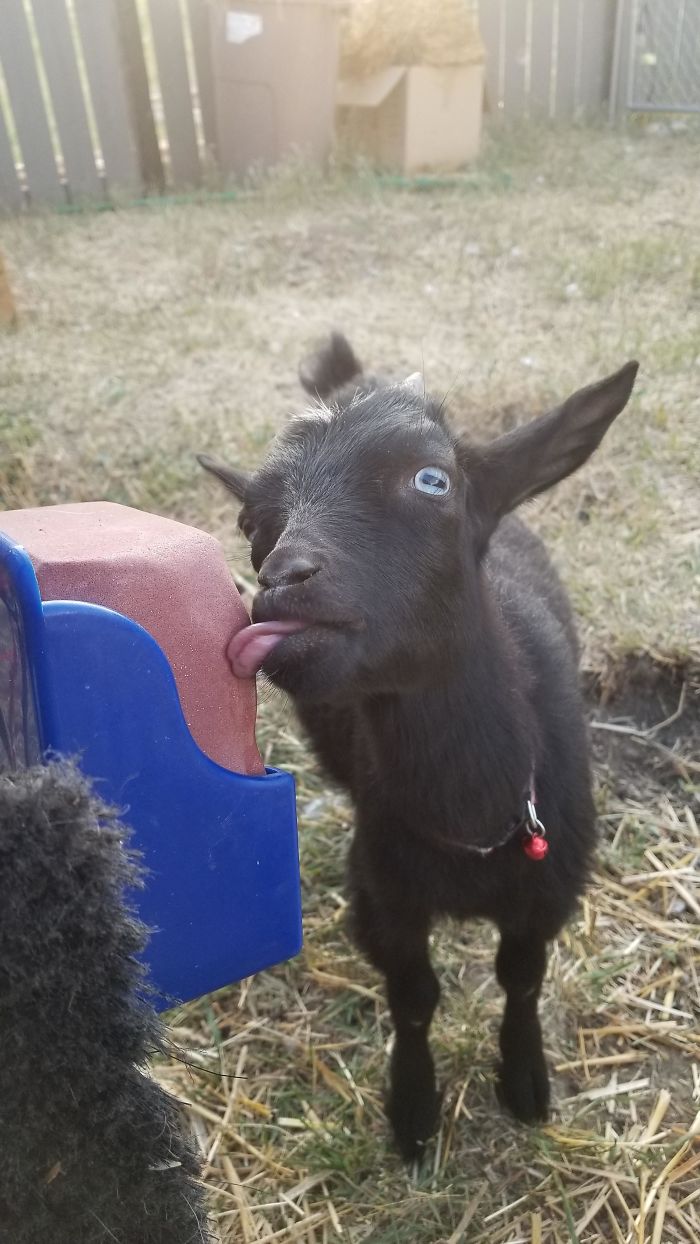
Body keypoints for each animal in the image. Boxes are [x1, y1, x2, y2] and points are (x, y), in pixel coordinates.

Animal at [199, 335, 638, 1160]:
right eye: (249, 519)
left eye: (432, 479)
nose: (283, 580)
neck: (472, 809)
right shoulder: (386, 891)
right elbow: (413, 998)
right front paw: (413, 1108)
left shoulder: (550, 889)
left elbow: (522, 977)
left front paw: (525, 1080)